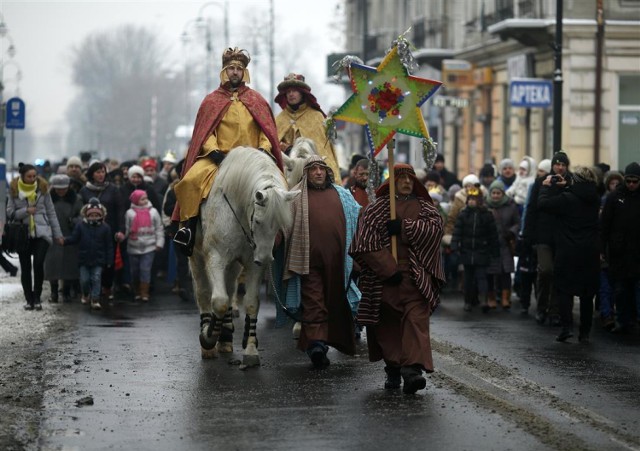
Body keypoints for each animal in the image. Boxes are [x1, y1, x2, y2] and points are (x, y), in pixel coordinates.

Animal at [190, 148, 300, 368]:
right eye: (257, 221)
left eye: (279, 225)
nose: (265, 259)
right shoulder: (215, 257)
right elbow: (219, 301)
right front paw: (208, 337)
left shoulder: (252, 263)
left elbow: (250, 302)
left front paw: (250, 350)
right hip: (197, 258)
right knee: (203, 292)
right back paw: (209, 342)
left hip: (233, 265)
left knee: (230, 287)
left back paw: (225, 338)